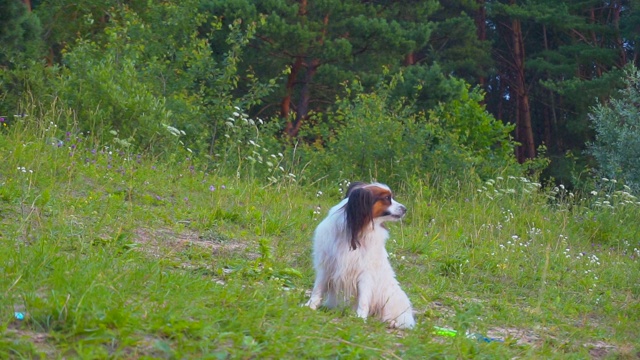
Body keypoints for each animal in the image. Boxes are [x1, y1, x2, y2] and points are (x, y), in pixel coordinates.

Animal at [304, 183, 416, 330]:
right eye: (387, 198)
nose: (405, 209)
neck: (356, 231)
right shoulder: (326, 266)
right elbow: (317, 289)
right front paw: (310, 305)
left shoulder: (365, 274)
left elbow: (363, 299)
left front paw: (360, 317)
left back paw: (392, 322)